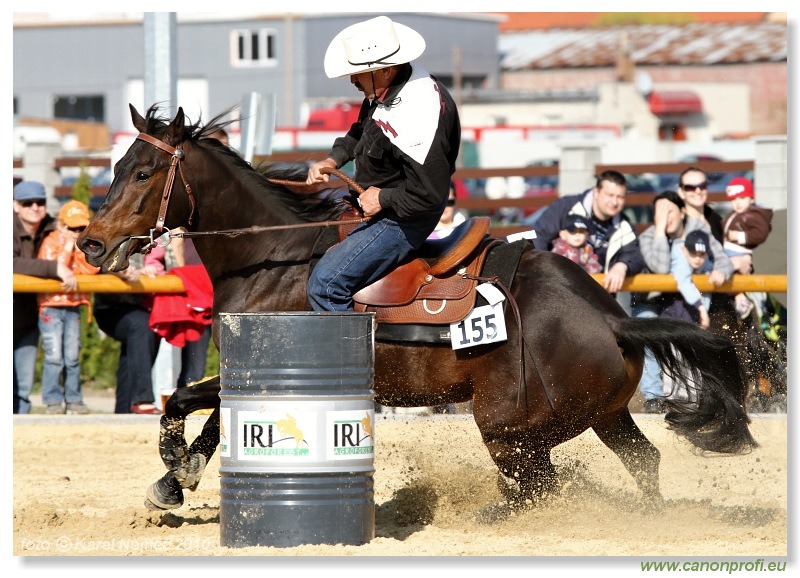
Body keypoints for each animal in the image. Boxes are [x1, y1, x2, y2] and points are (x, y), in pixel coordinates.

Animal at [79, 106, 756, 520]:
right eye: (116, 167)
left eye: (143, 172)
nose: (91, 244)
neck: (274, 259)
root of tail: (611, 317)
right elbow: (206, 412)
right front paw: (177, 478)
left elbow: (187, 401)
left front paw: (174, 472)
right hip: (603, 414)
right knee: (640, 462)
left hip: (508, 429)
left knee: (540, 487)